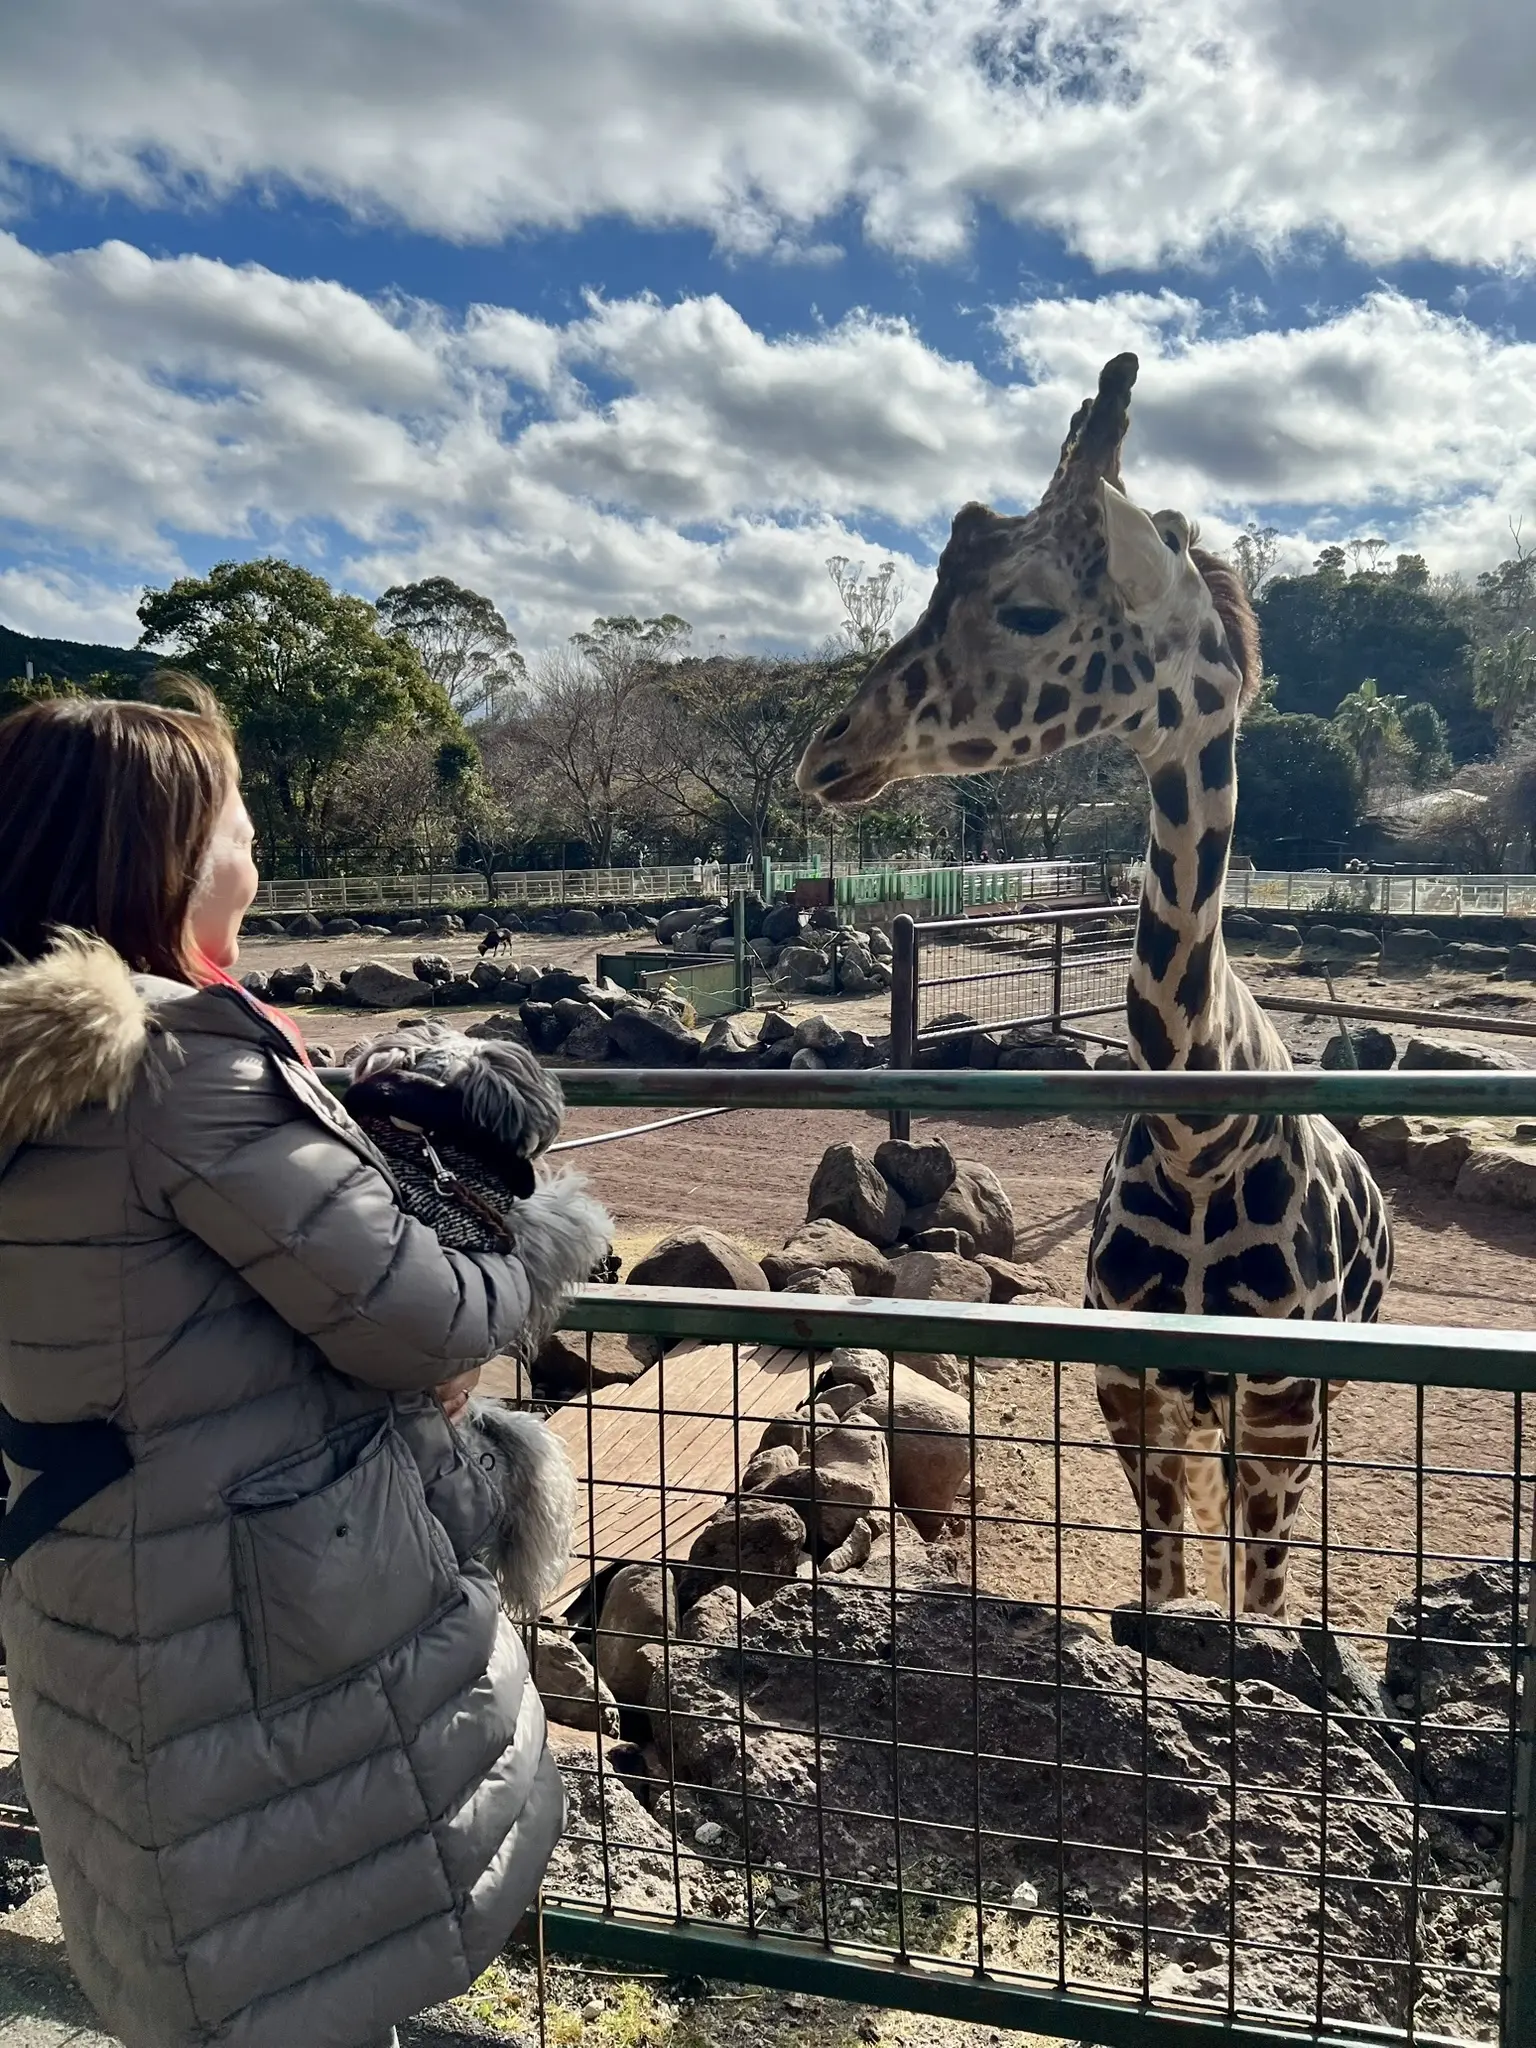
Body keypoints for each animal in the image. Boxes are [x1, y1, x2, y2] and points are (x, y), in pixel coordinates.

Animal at [794, 356, 1392, 1630]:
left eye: (1027, 608)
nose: (830, 752)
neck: (1199, 1133)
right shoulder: (1133, 1386)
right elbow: (1162, 1589)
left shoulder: (1280, 1397)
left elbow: (1252, 1608)